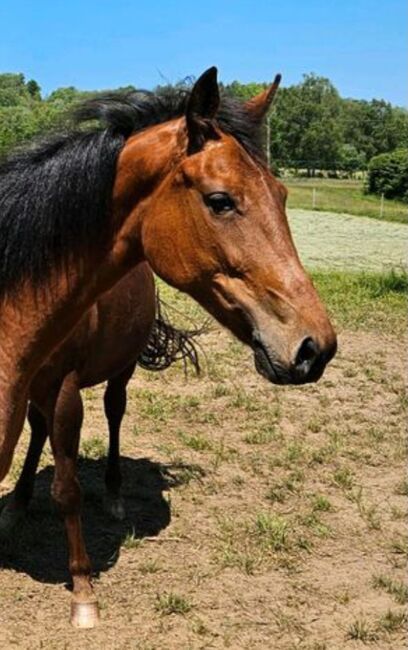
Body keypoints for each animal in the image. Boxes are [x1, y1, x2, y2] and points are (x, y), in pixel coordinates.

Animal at [0, 66, 336, 624]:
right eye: (220, 200)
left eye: (283, 195)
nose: (315, 346)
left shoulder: (64, 385)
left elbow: (67, 485)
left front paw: (83, 591)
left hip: (118, 372)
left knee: (114, 411)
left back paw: (112, 495)